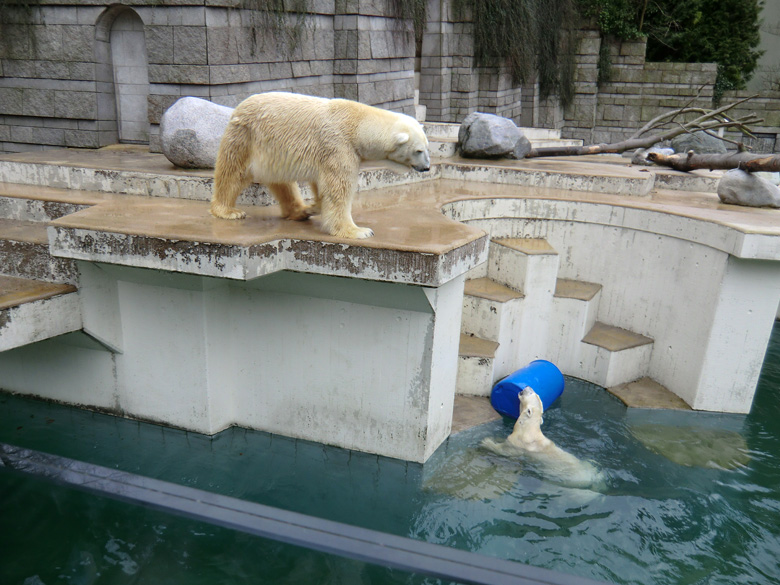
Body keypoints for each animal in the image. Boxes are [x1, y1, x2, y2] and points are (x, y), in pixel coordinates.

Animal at [210, 91, 432, 237]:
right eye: (418, 150)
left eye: (427, 147)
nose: (427, 167)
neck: (358, 124)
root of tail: (238, 107)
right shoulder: (339, 145)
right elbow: (339, 188)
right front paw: (359, 231)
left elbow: (321, 183)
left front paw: (317, 205)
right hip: (246, 137)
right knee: (233, 172)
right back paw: (228, 211)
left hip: (273, 151)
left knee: (282, 182)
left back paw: (301, 211)